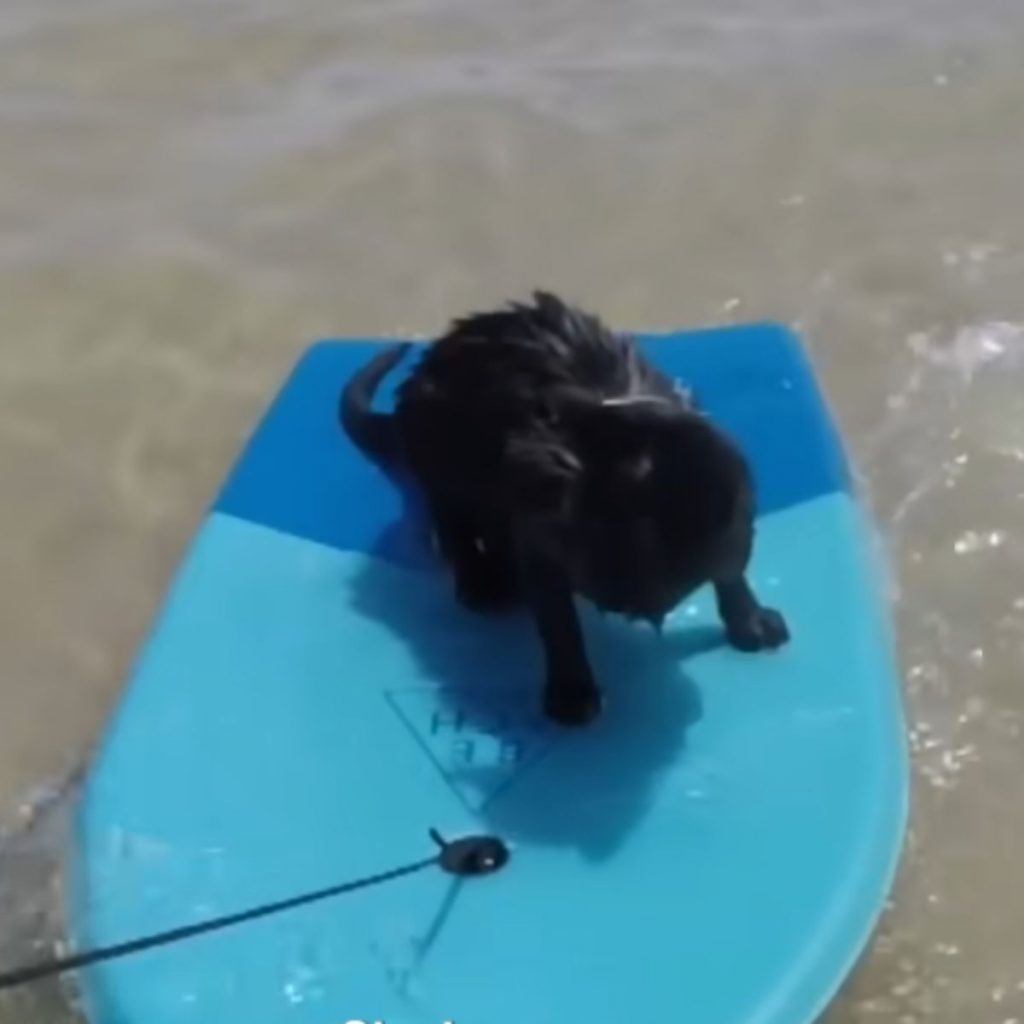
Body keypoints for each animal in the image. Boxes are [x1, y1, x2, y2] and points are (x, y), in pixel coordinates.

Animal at [339, 292, 786, 729]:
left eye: (554, 420)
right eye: (543, 415)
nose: (525, 450)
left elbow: (731, 575)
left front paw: (751, 623)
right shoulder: (542, 540)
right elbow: (559, 625)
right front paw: (573, 693)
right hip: (438, 453)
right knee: (452, 522)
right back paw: (484, 581)